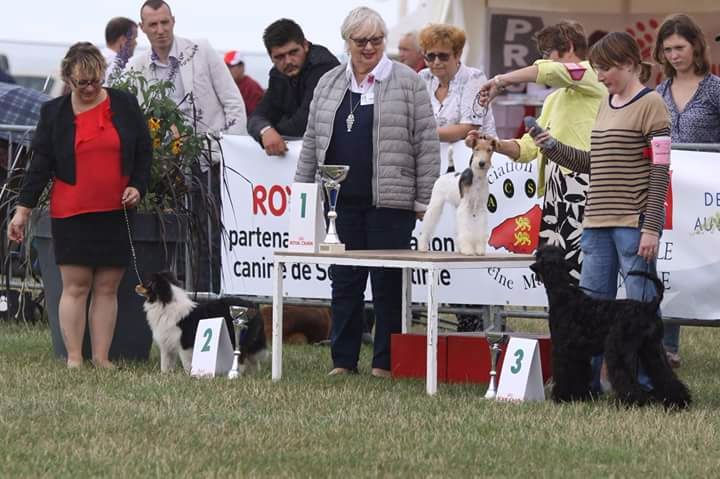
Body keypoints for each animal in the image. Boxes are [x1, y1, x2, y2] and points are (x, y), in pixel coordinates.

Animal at [137, 272, 268, 374]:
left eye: (147, 282)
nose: (136, 286)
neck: (165, 303)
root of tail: (253, 306)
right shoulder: (166, 344)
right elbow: (165, 364)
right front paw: (165, 375)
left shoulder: (184, 344)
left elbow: (186, 363)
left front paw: (189, 375)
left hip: (239, 337)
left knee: (242, 357)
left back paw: (237, 372)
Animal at [532, 246, 688, 410]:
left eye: (539, 255)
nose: (533, 263)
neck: (563, 294)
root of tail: (649, 306)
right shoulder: (578, 352)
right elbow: (579, 374)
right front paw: (579, 396)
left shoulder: (562, 348)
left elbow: (564, 374)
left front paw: (561, 397)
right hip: (652, 348)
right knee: (665, 374)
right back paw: (677, 401)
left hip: (619, 350)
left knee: (627, 377)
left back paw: (632, 401)